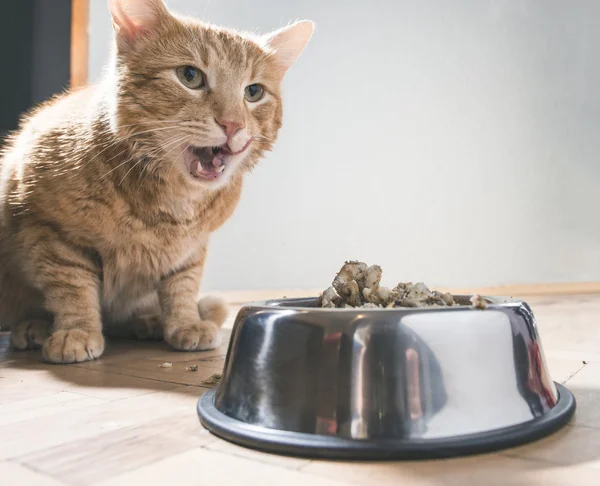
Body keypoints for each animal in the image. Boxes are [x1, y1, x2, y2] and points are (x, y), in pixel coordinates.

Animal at [0, 0, 316, 362]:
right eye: (190, 76)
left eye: (253, 92)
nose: (233, 125)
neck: (171, 204)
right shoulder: (52, 231)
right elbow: (72, 287)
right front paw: (76, 331)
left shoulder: (192, 247)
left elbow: (182, 286)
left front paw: (184, 323)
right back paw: (34, 327)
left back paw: (147, 321)